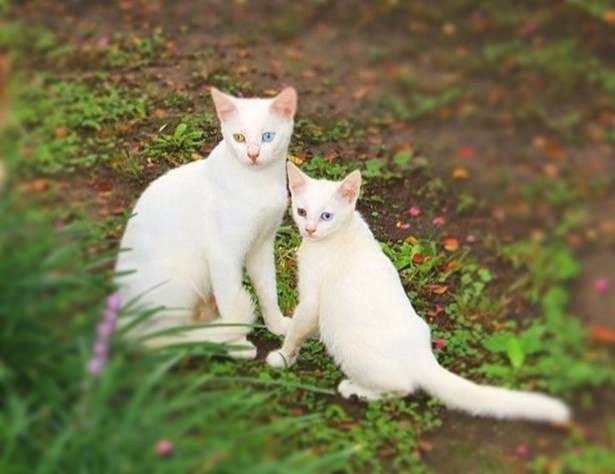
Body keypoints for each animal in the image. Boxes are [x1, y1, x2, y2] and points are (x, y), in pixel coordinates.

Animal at [116, 87, 300, 358]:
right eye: (239, 137)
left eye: (267, 136)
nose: (253, 155)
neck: (259, 182)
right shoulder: (223, 256)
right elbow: (231, 304)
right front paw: (236, 345)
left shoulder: (262, 246)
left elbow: (268, 291)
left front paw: (277, 325)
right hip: (179, 279)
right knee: (164, 339)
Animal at [268, 163, 572, 422]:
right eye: (302, 212)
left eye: (326, 216)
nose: (309, 229)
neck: (338, 235)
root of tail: (422, 357)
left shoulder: (311, 300)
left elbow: (297, 328)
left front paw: (282, 356)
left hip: (349, 348)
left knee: (401, 387)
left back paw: (354, 389)